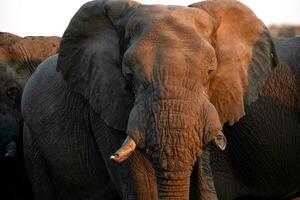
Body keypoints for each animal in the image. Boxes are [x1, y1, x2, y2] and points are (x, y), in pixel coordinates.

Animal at [20, 0, 298, 199]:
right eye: (129, 76)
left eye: (210, 73)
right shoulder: (106, 104)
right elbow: (142, 184)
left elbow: (202, 178)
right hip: (32, 140)